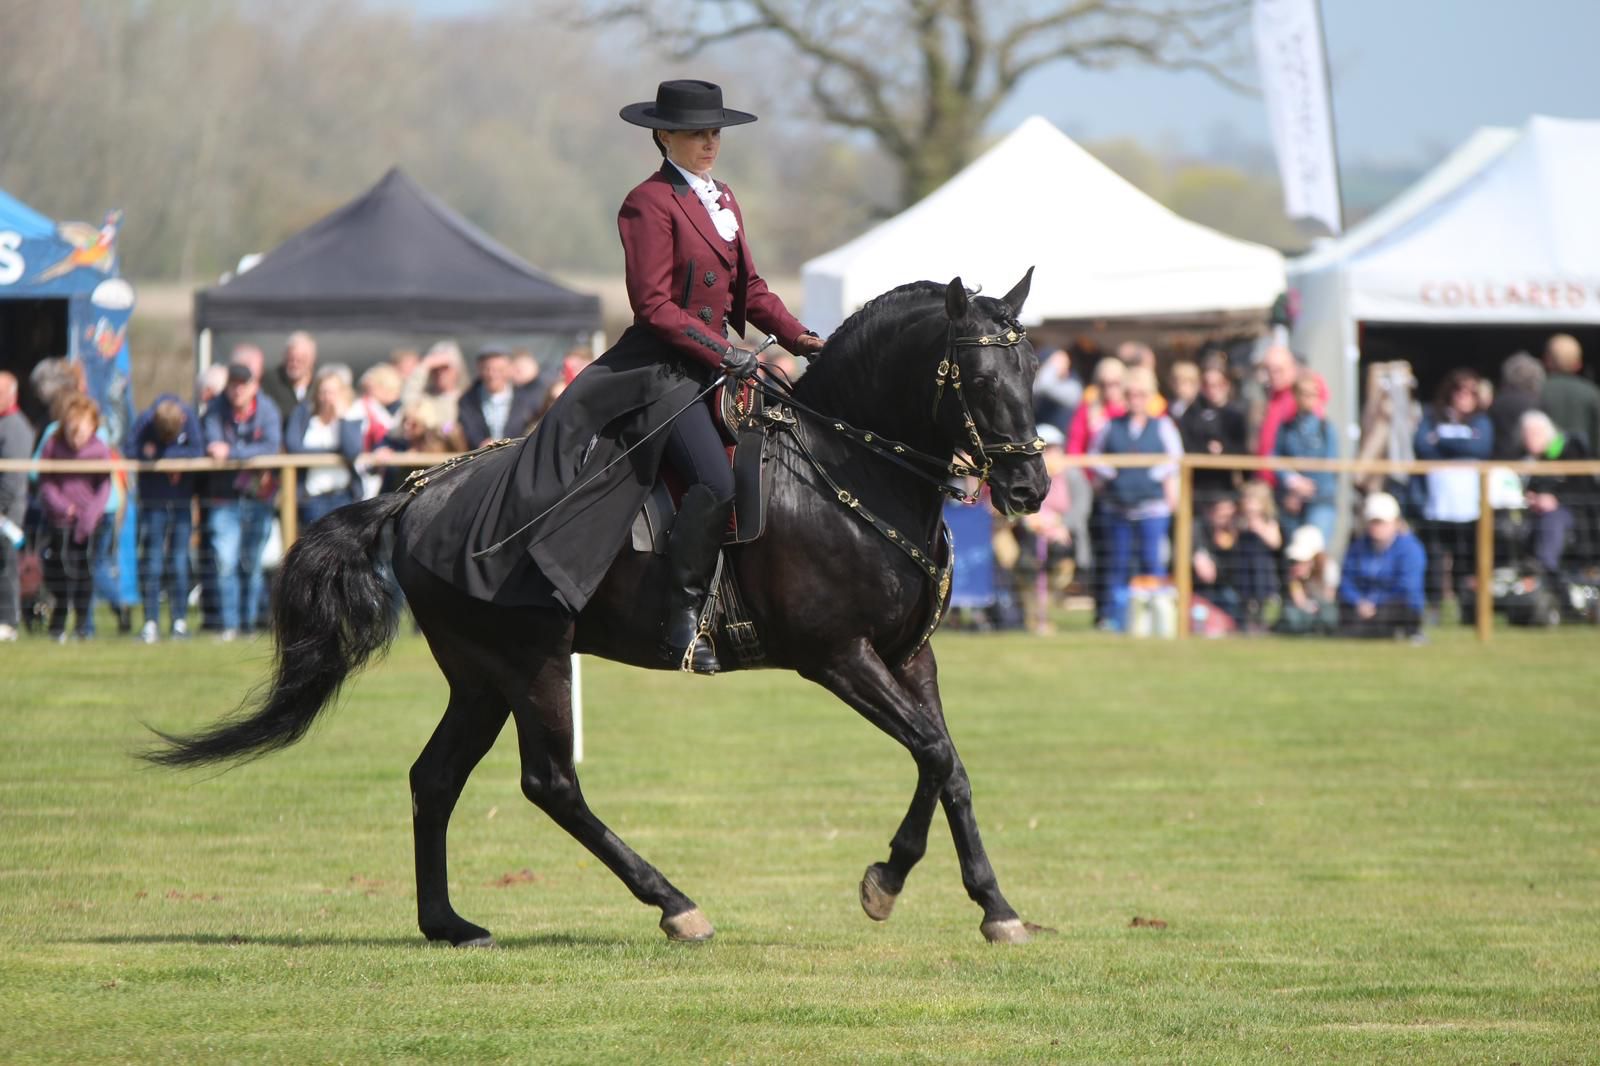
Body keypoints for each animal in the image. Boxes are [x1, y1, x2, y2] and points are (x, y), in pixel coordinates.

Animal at [150, 270, 1049, 941]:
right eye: (976, 378)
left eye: (1033, 371)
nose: (1029, 488)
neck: (849, 466)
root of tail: (419, 493)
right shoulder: (838, 658)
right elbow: (931, 751)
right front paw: (903, 885)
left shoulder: (907, 654)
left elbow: (946, 761)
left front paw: (979, 901)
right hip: (531, 663)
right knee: (550, 784)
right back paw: (674, 904)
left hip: (480, 679)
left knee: (434, 779)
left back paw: (448, 923)